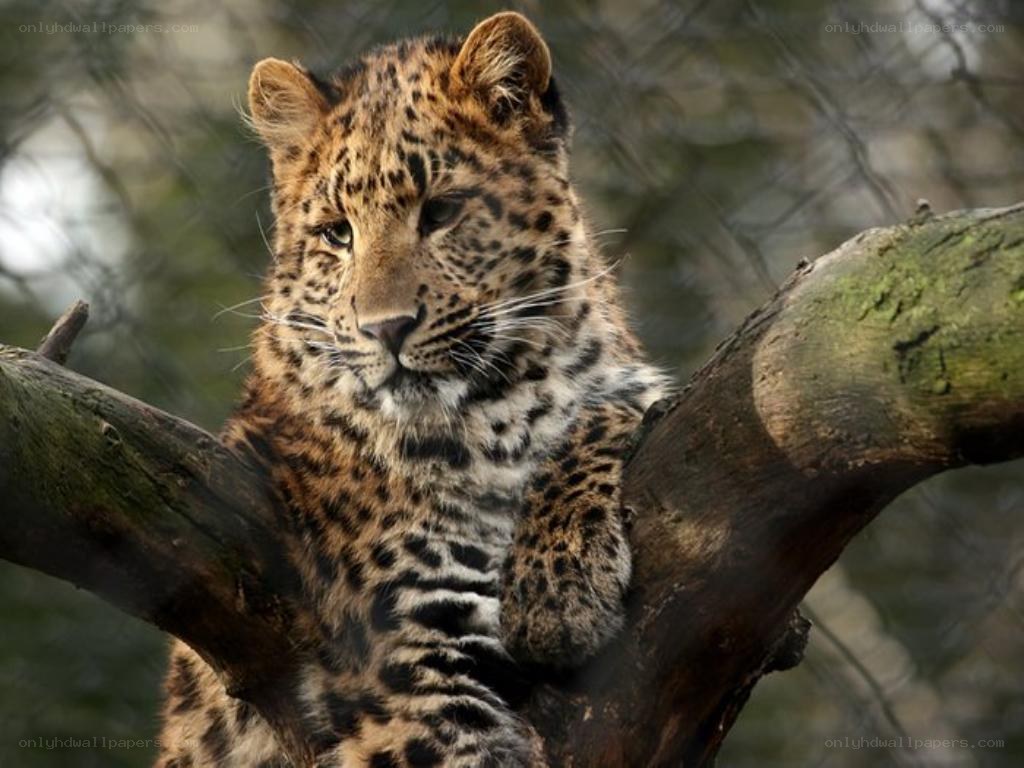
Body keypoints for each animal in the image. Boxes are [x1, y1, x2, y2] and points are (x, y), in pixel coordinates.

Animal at [156, 11, 670, 768]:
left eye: (442, 211)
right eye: (337, 233)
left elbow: (603, 412)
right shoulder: (405, 665)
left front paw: (557, 588)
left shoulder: (620, 384)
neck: (489, 422)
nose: (387, 329)